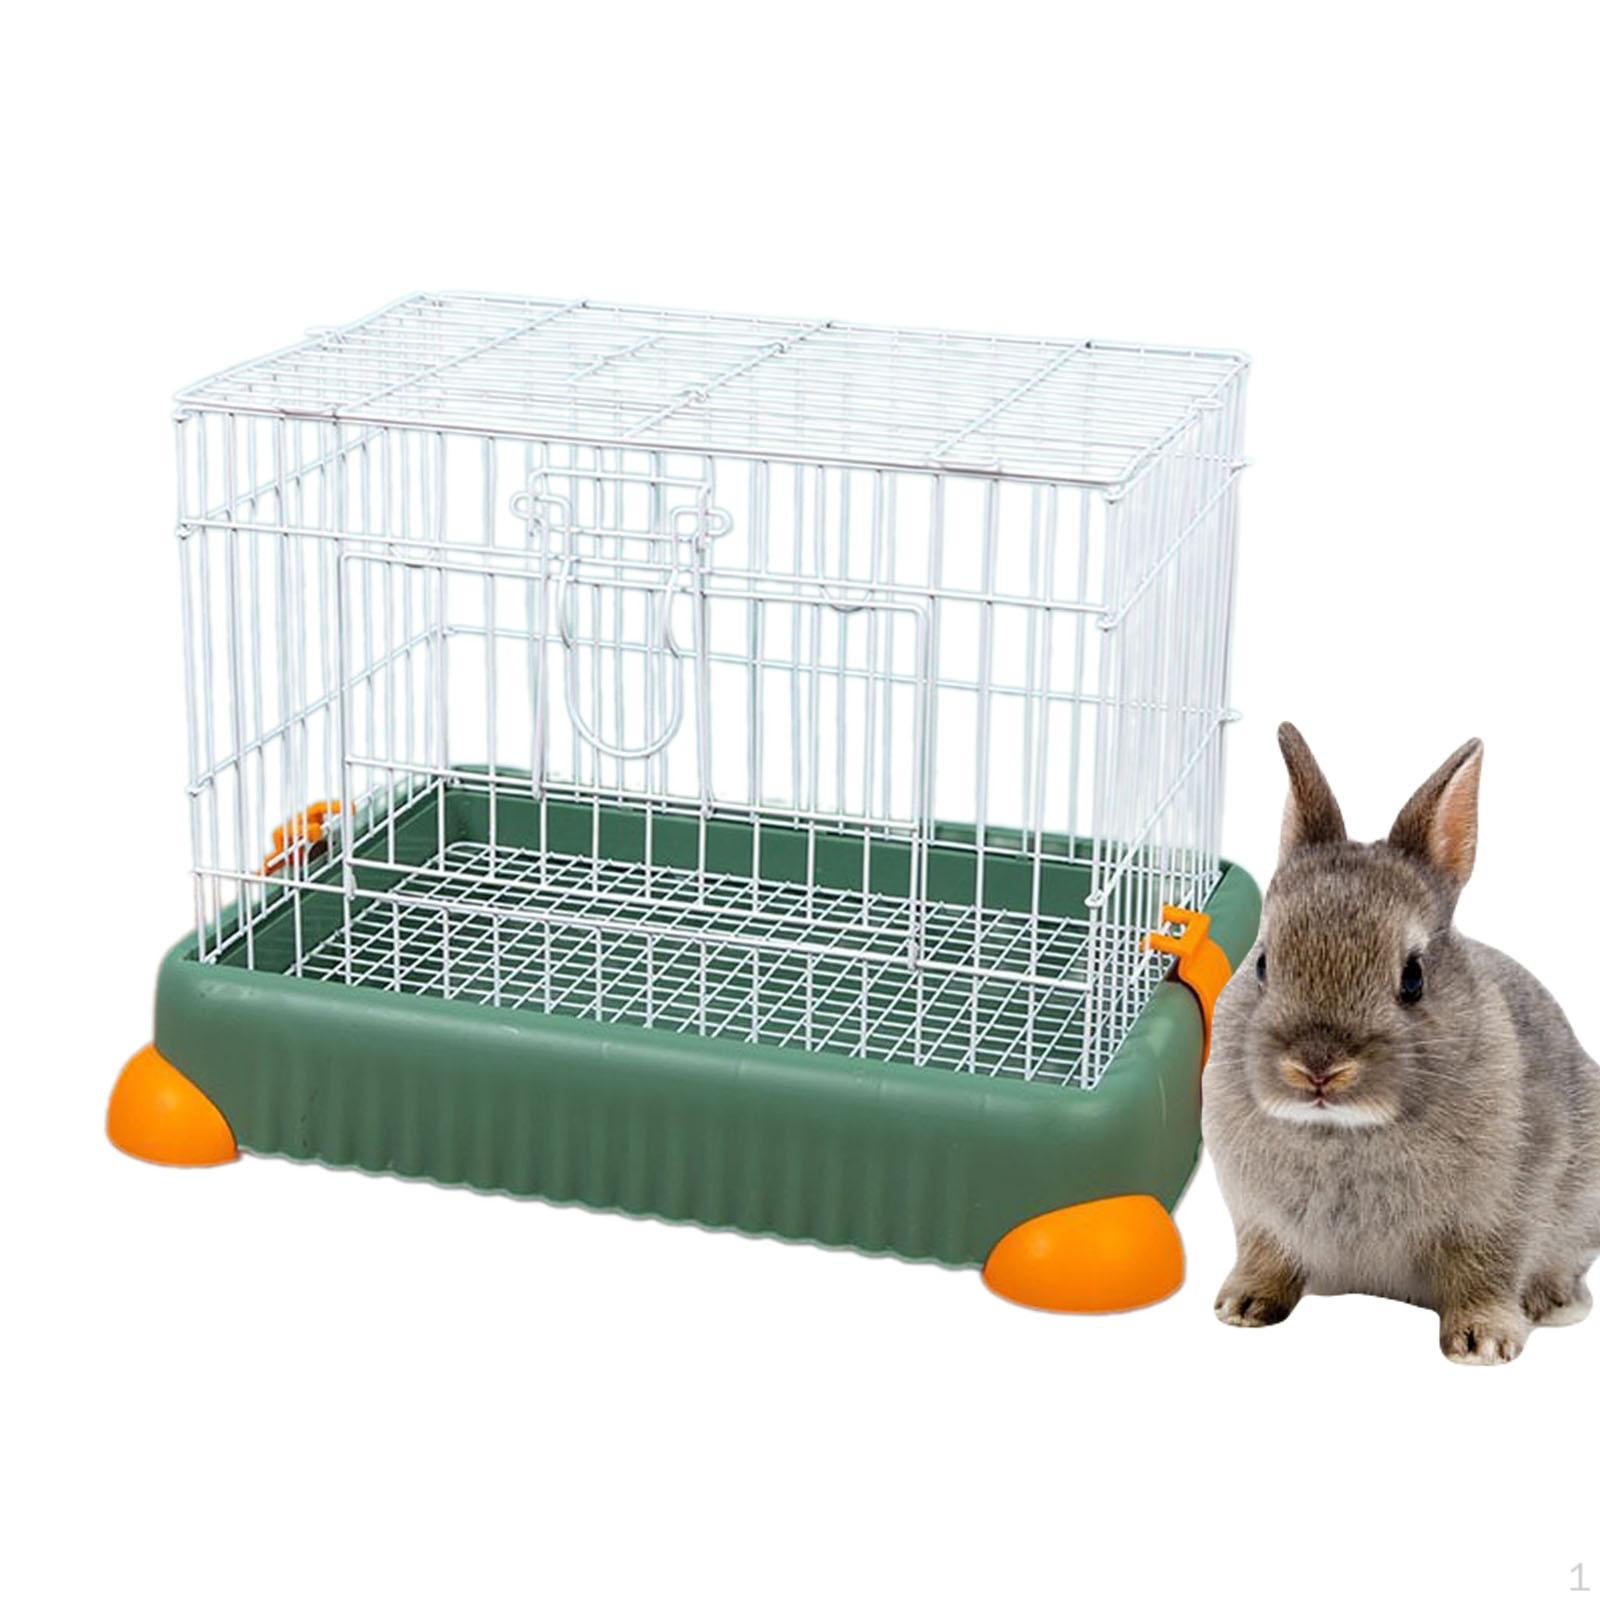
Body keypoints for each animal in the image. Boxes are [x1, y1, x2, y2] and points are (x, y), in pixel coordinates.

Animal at [1202, 724, 1600, 1364]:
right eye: (1262, 963)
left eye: (1413, 977)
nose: (1317, 1068)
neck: (1342, 1129)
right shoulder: (1258, 1219)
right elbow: (1265, 1257)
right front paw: (1243, 1307)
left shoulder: (1497, 1218)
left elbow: (1486, 1274)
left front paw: (1482, 1343)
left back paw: (1557, 1303)